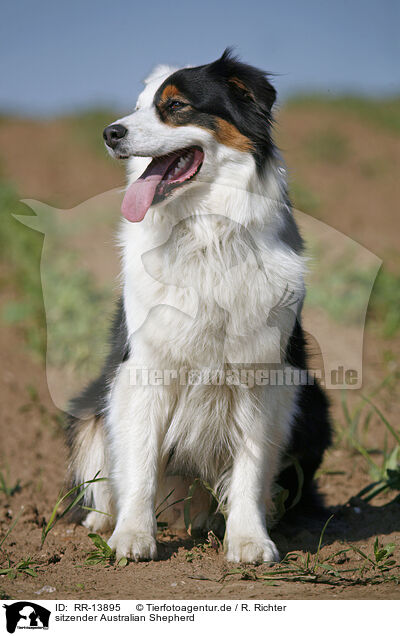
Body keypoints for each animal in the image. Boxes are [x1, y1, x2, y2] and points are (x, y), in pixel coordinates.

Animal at [68, 51, 332, 568]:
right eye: (138, 107)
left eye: (175, 106)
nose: (110, 132)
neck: (206, 232)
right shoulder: (143, 367)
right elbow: (140, 464)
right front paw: (133, 536)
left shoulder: (263, 374)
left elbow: (250, 466)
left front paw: (249, 540)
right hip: (91, 408)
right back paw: (104, 522)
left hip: (313, 404)